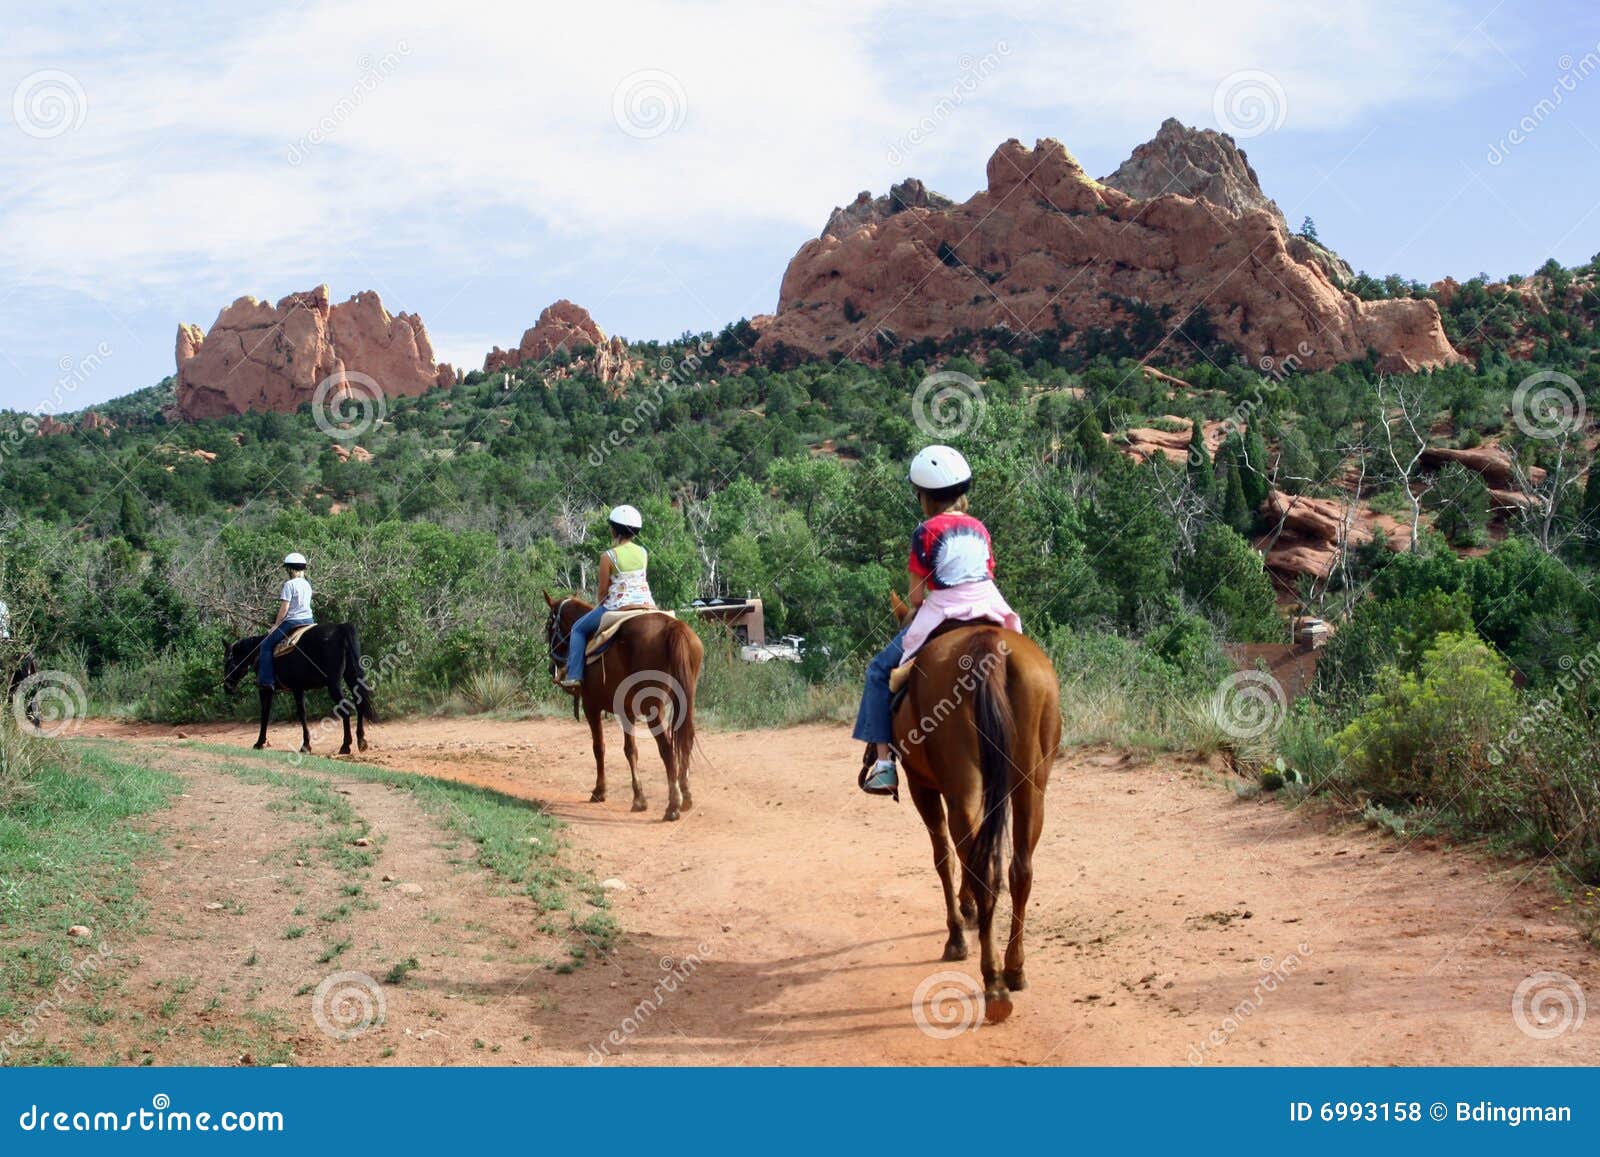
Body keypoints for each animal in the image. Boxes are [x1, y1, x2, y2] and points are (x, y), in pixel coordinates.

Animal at [224, 630, 376, 755]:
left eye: (227, 661)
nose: (227, 687)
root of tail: (341, 629)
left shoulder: (266, 689)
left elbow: (265, 714)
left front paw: (259, 742)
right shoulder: (298, 688)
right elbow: (302, 713)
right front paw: (306, 745)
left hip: (334, 684)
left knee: (346, 710)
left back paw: (345, 746)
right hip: (351, 676)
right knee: (360, 704)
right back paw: (361, 741)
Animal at [544, 598, 700, 825]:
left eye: (549, 626)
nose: (551, 666)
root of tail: (673, 627)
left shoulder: (591, 706)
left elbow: (598, 748)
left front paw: (600, 791)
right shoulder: (626, 710)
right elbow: (630, 750)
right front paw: (639, 799)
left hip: (654, 707)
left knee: (667, 748)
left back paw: (673, 805)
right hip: (686, 701)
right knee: (685, 741)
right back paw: (686, 796)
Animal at [883, 592, 1056, 1024]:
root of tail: (987, 645)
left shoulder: (923, 786)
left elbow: (944, 857)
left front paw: (958, 933)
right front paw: (970, 910)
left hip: (960, 782)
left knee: (980, 866)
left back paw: (992, 980)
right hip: (1029, 785)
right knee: (1017, 868)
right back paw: (1013, 969)